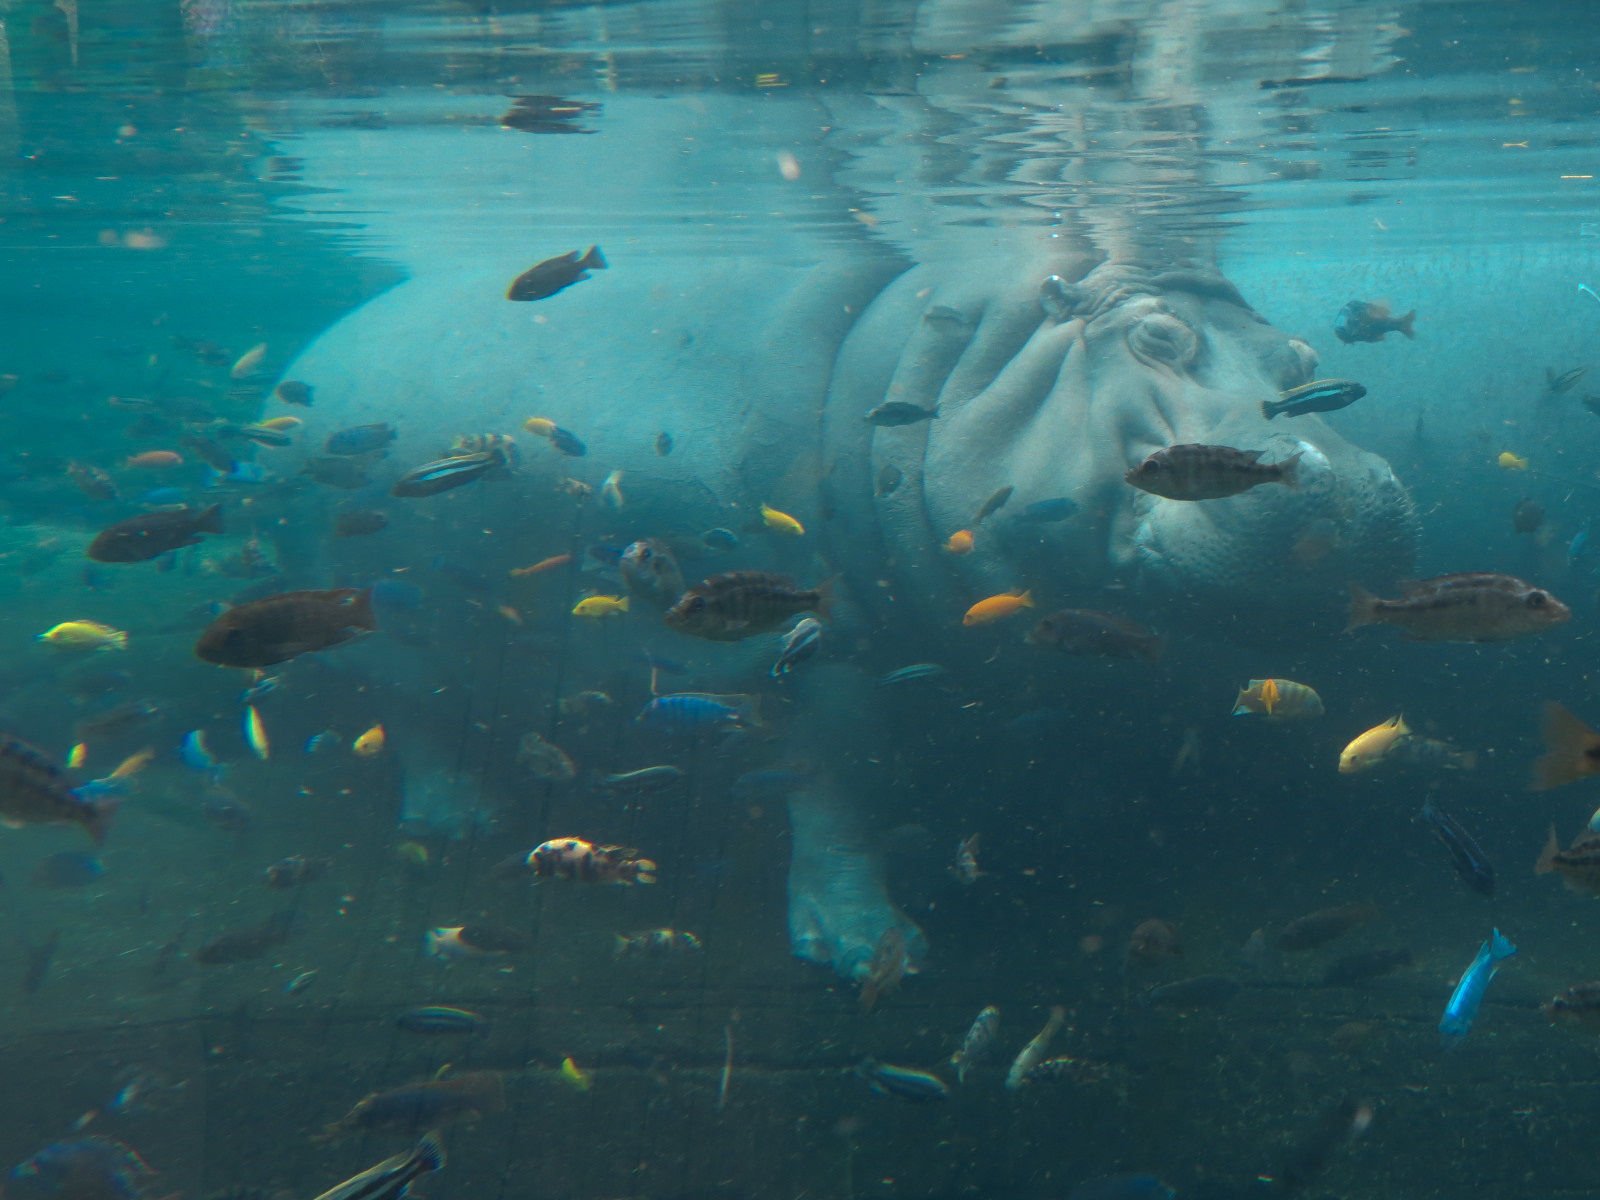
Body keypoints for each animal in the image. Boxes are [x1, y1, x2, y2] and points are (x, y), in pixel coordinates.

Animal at [280, 245, 1416, 983]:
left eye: (1303, 361)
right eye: (1160, 337)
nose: (1347, 483)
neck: (949, 364)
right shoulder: (821, 648)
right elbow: (842, 781)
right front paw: (870, 949)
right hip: (396, 625)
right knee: (415, 717)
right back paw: (456, 820)